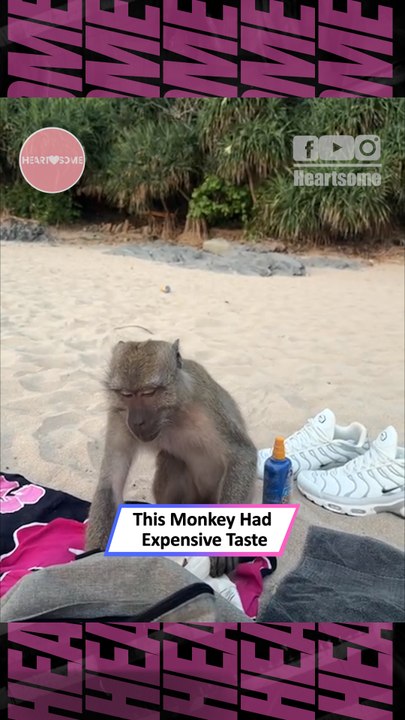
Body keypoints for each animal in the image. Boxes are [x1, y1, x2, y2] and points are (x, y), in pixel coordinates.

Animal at [85, 339, 257, 577]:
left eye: (148, 393)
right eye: (126, 394)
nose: (137, 421)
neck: (172, 414)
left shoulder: (205, 408)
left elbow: (242, 455)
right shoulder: (119, 415)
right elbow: (110, 482)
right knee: (173, 460)